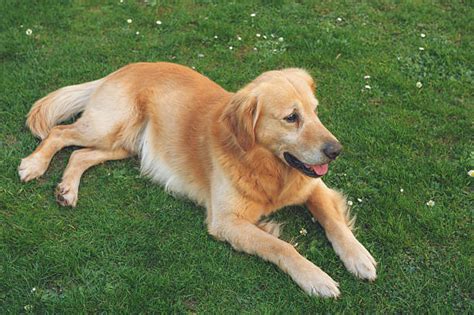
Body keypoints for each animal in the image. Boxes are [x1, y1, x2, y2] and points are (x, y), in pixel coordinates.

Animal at [19, 62, 378, 298]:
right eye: (292, 118)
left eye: (315, 112)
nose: (336, 151)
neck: (266, 166)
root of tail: (121, 68)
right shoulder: (227, 221)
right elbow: (281, 246)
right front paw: (316, 278)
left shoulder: (314, 186)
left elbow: (333, 221)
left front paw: (359, 257)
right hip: (106, 127)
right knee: (59, 133)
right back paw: (34, 164)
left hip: (122, 145)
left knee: (80, 155)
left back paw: (67, 189)